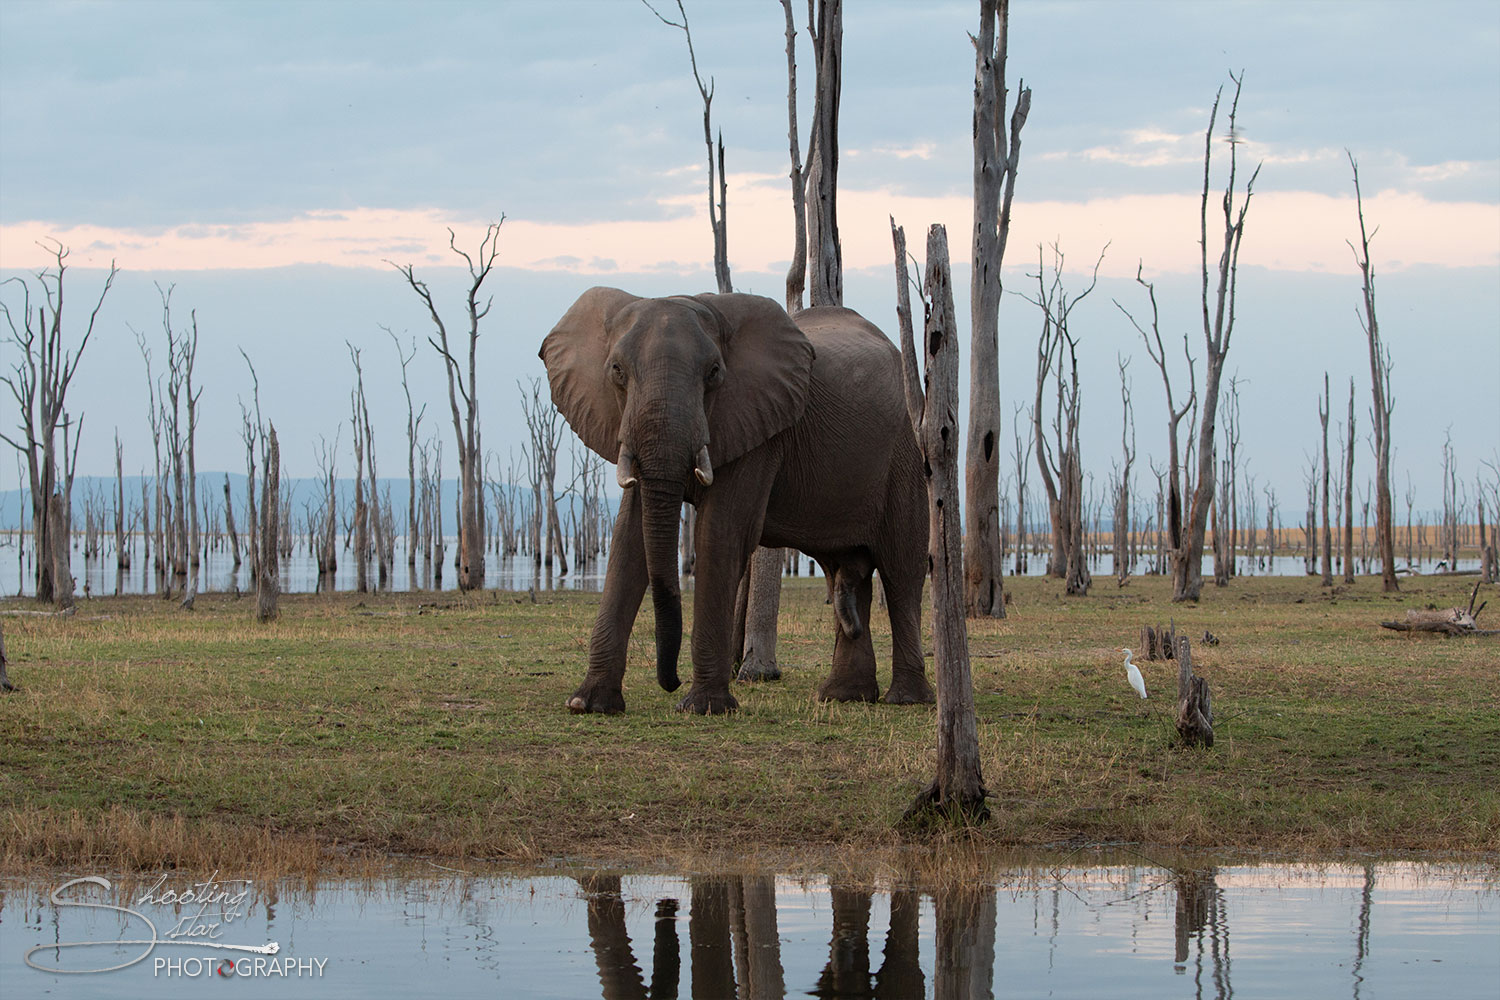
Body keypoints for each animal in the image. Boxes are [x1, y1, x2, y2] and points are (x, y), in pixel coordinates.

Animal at [539, 287, 933, 714]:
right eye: (616, 370)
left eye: (714, 372)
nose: (670, 683)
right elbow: (629, 540)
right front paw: (588, 704)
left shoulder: (759, 425)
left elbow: (720, 533)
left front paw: (702, 708)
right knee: (843, 571)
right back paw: (843, 696)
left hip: (904, 456)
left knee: (901, 571)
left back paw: (906, 700)